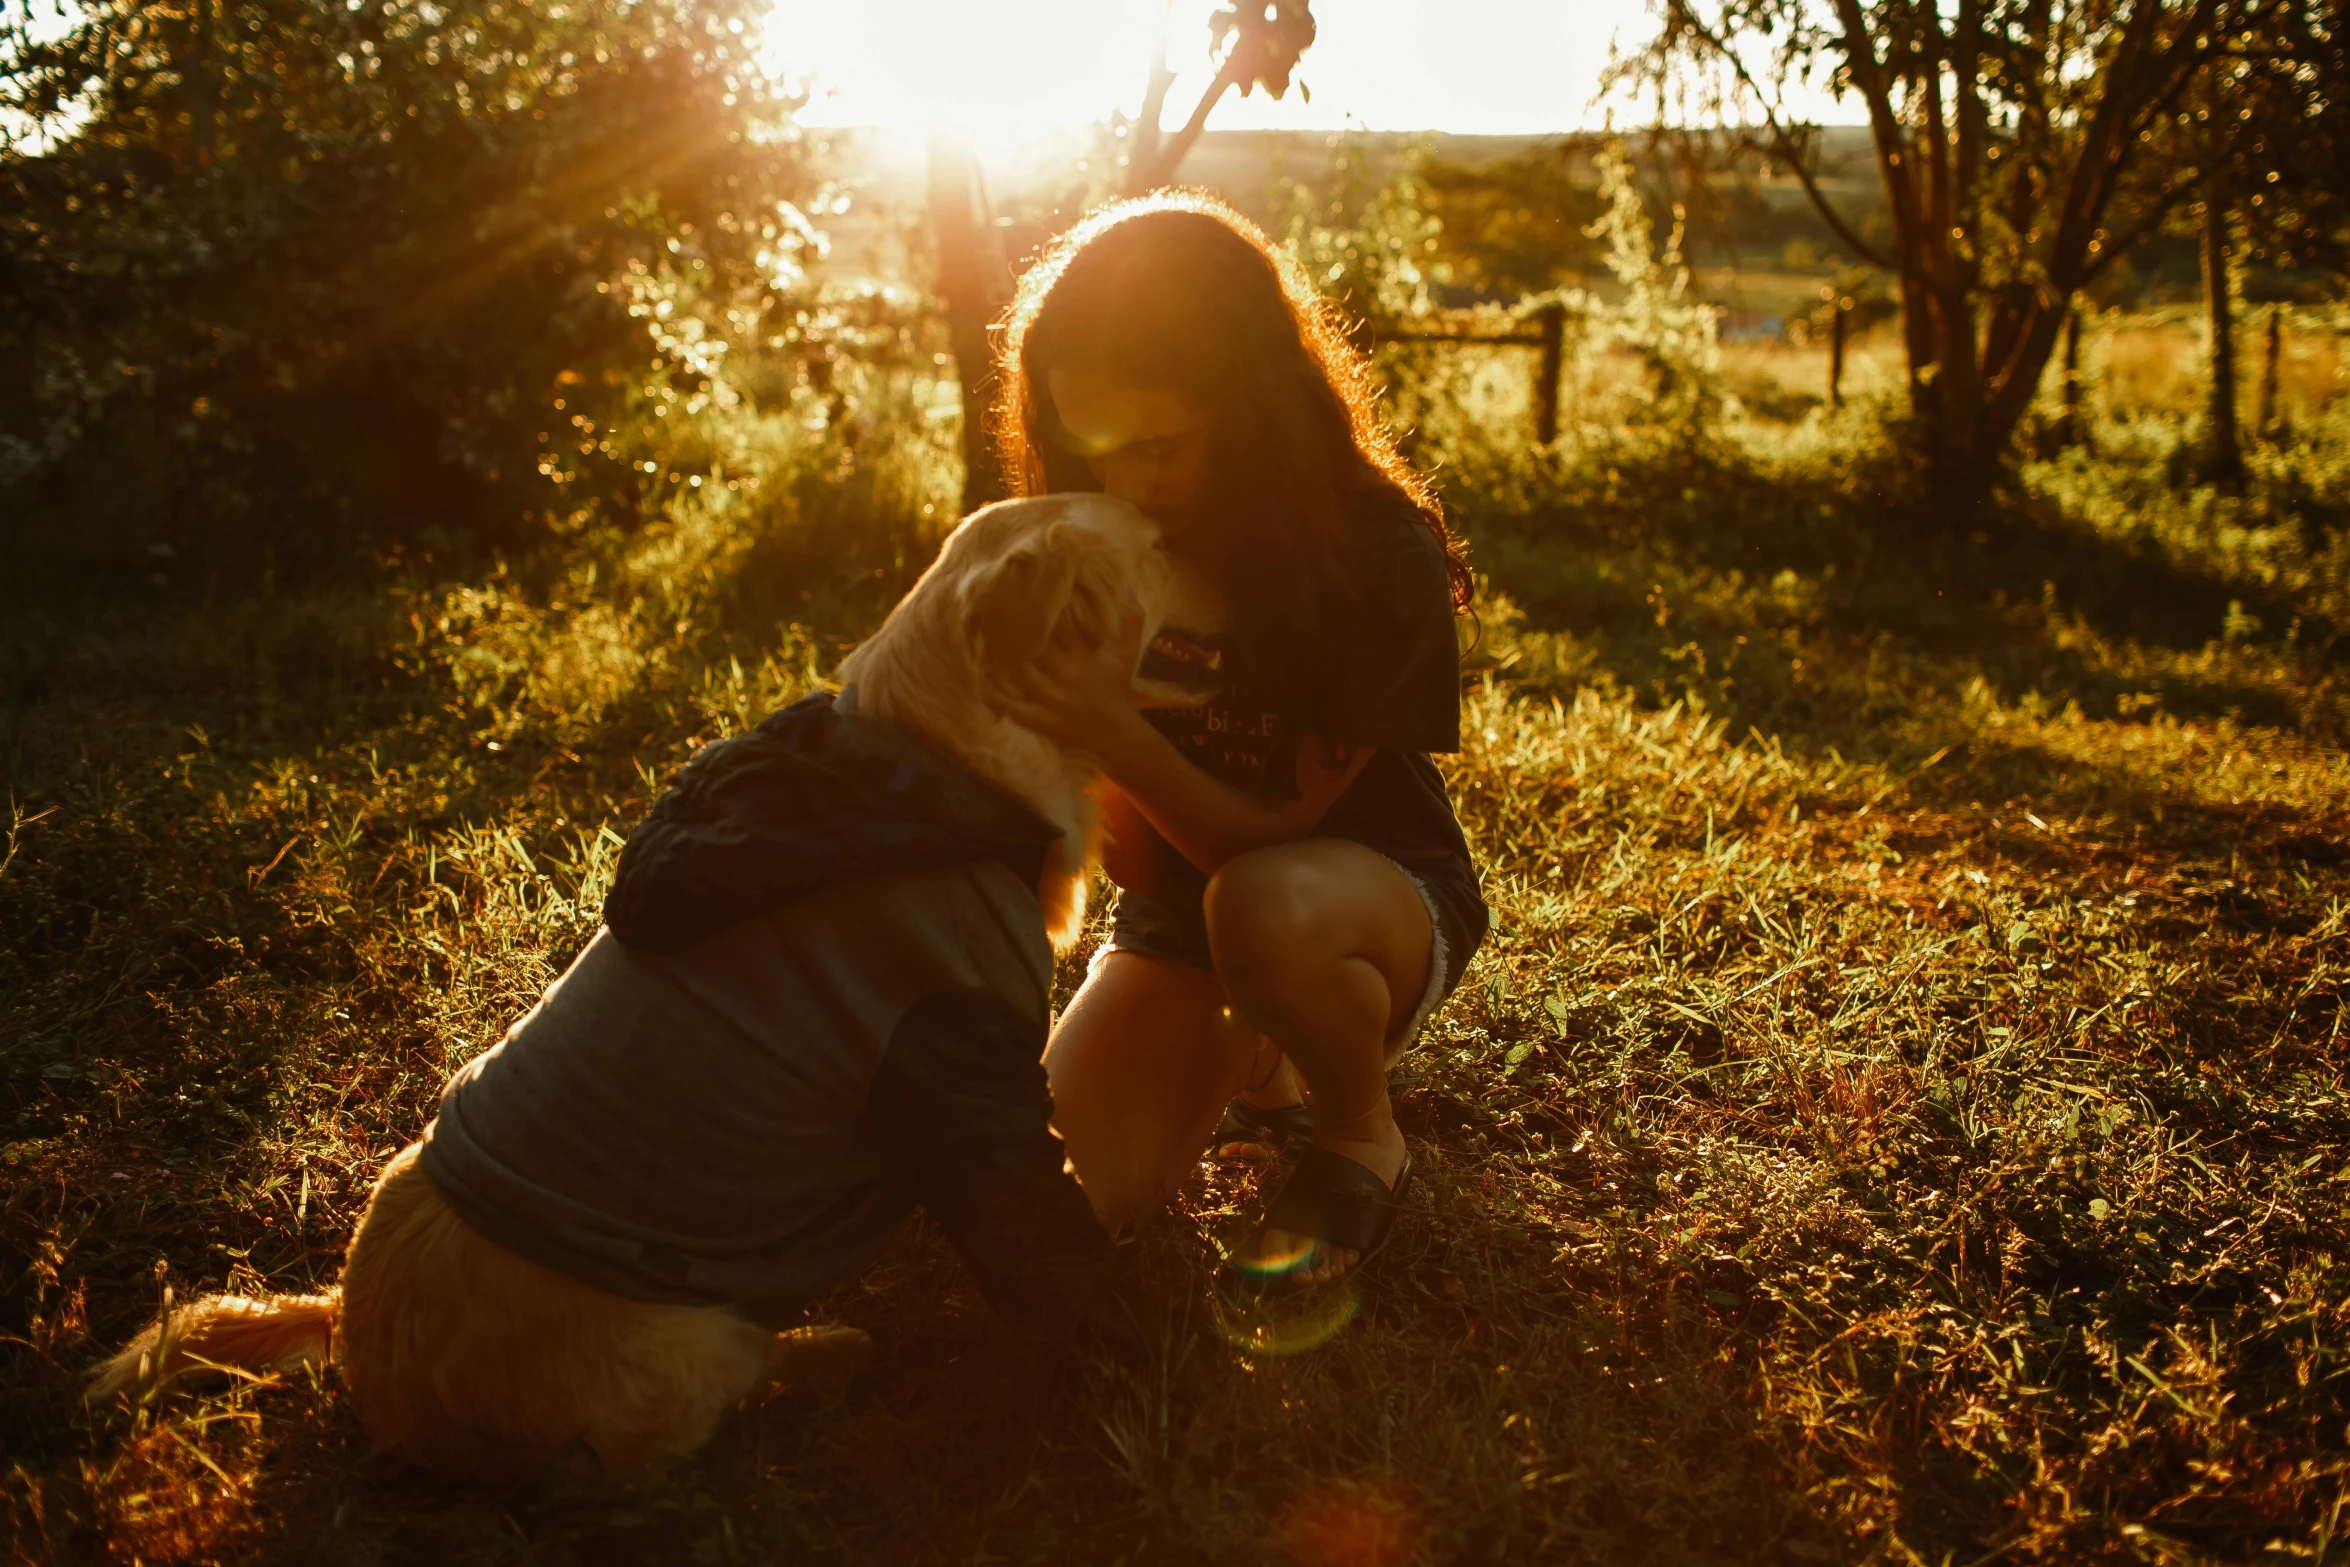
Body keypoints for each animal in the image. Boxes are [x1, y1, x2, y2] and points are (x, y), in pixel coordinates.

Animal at [86, 500, 1231, 1484]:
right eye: (1151, 538)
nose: (1229, 552)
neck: (931, 770)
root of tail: (363, 1359)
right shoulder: (964, 1069)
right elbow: (1051, 1242)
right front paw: (1152, 1365)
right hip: (696, 1339)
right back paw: (834, 1345)